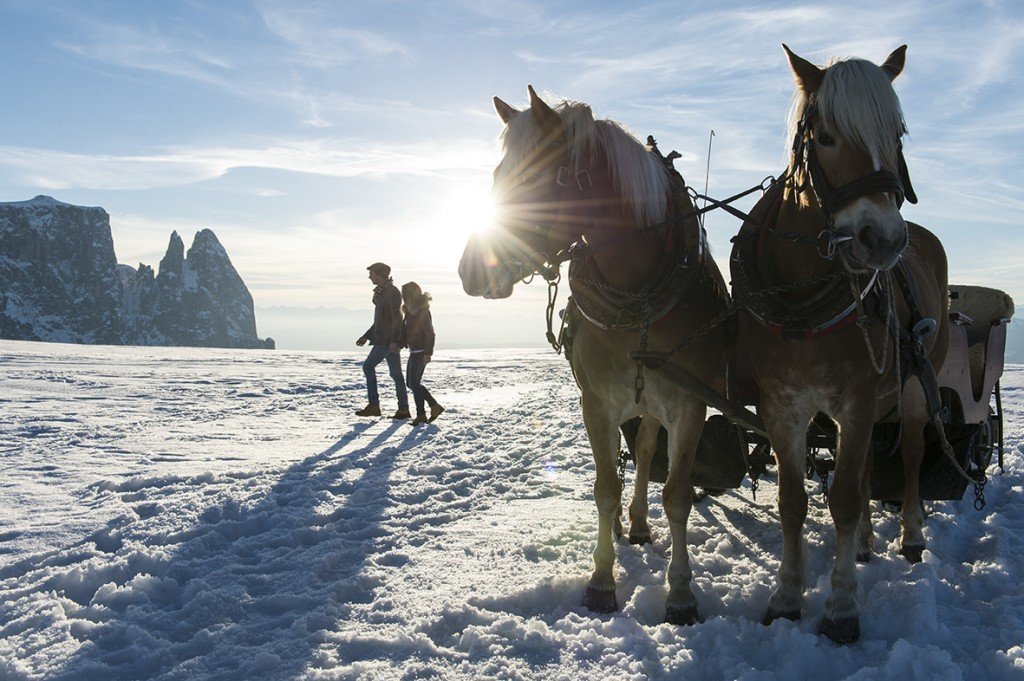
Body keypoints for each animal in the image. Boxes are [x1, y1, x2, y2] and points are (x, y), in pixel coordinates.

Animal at [460, 87, 733, 622]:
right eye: (498, 176)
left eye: (538, 179)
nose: (471, 272)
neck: (640, 297)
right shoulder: (597, 403)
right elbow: (605, 488)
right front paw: (602, 581)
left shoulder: (691, 404)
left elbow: (678, 495)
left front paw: (681, 592)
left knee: (646, 452)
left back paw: (642, 523)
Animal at [729, 45, 950, 639]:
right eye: (825, 136)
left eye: (897, 133)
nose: (885, 240)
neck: (804, 295)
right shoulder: (782, 403)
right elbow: (793, 500)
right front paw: (786, 595)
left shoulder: (856, 396)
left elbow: (846, 497)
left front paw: (842, 605)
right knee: (871, 462)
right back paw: (869, 543)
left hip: (913, 385)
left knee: (911, 454)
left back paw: (910, 535)